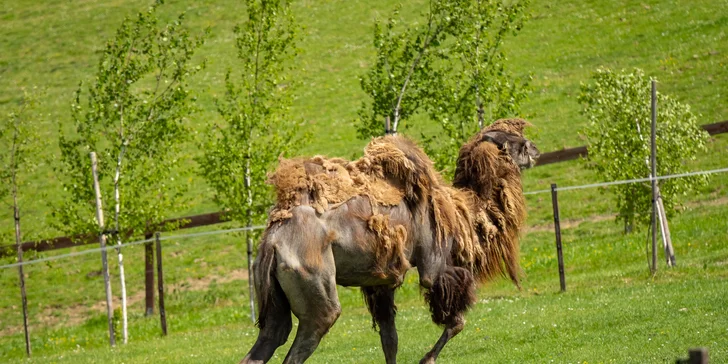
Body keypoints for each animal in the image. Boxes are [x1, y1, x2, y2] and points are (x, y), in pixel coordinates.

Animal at [242, 118, 536, 362]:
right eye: (513, 141)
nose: (535, 148)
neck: (460, 211)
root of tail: (271, 243)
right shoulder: (434, 263)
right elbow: (456, 322)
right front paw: (427, 359)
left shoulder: (381, 282)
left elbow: (390, 340)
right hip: (312, 279)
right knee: (314, 326)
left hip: (273, 293)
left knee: (271, 335)